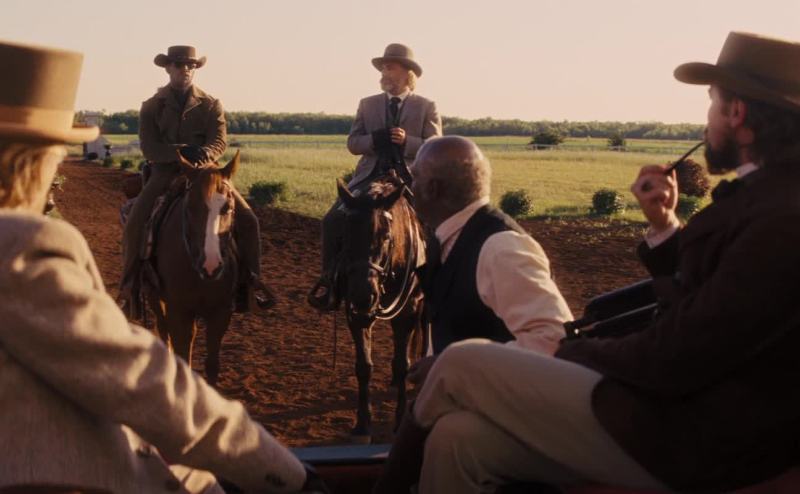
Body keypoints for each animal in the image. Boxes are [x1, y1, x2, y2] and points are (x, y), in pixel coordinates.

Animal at [143, 151, 241, 386]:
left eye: (228, 208)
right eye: (189, 208)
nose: (211, 264)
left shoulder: (221, 312)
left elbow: (212, 364)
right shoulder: (179, 310)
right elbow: (182, 354)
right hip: (154, 296)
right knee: (164, 330)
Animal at [335, 173, 429, 443]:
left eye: (386, 237)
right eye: (346, 234)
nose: (363, 294)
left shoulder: (408, 312)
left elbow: (402, 363)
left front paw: (399, 421)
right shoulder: (356, 314)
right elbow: (364, 366)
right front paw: (362, 423)